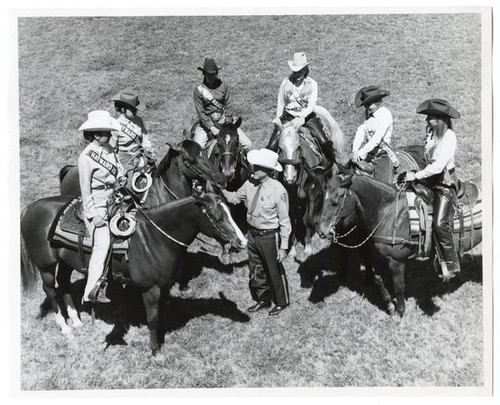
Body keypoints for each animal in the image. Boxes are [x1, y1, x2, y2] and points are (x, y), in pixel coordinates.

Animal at [21, 191, 248, 358]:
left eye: (230, 212)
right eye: (218, 217)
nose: (242, 242)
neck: (154, 237)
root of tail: (29, 208)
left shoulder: (163, 286)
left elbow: (161, 315)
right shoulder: (151, 289)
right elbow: (153, 319)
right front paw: (155, 351)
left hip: (65, 262)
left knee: (64, 283)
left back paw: (76, 320)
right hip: (46, 265)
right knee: (50, 290)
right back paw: (65, 327)